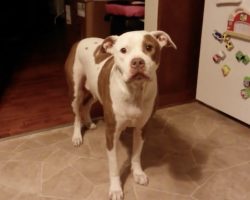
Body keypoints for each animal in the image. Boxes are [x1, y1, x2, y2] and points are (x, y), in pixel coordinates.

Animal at [65, 30, 177, 199]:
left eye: (149, 47)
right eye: (123, 50)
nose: (137, 62)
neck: (135, 91)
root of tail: (80, 41)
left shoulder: (142, 128)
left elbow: (136, 155)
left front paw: (138, 173)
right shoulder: (111, 133)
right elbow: (114, 165)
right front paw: (116, 189)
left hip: (95, 90)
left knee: (86, 105)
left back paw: (89, 122)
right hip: (76, 90)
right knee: (77, 111)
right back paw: (77, 135)